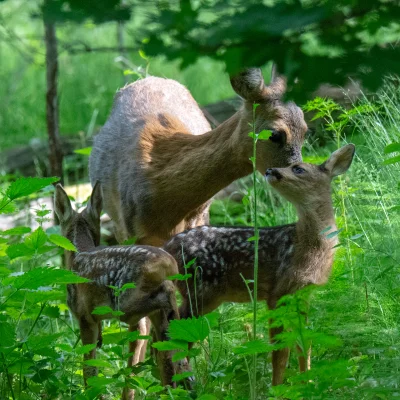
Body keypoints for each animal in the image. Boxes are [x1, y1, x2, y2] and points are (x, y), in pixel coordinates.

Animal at [53, 183, 188, 398]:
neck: (79, 253)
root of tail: (169, 264)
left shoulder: (84, 316)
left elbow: (88, 367)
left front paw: (93, 394)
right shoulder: (95, 317)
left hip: (124, 303)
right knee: (167, 359)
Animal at [163, 144, 356, 384]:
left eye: (298, 168)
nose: (272, 170)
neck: (307, 246)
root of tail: (167, 247)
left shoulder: (303, 293)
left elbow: (304, 342)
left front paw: (308, 382)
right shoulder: (278, 292)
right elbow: (280, 349)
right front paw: (277, 387)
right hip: (200, 288)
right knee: (175, 330)